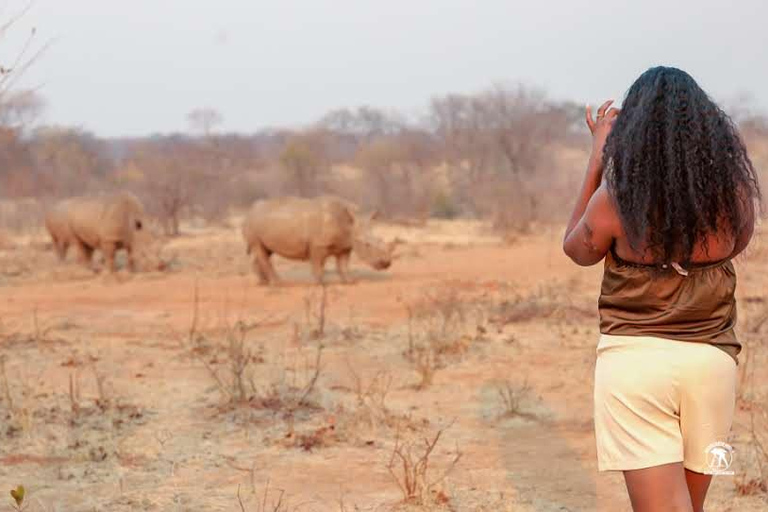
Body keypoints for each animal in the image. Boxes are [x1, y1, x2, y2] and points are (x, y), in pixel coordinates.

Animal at [242, 196, 395, 285]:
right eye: (366, 244)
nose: (386, 263)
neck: (348, 225)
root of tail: (249, 211)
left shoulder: (345, 246)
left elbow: (343, 265)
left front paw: (350, 281)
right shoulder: (318, 244)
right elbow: (317, 264)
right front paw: (320, 283)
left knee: (265, 251)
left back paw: (263, 283)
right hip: (252, 224)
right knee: (260, 250)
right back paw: (279, 284)